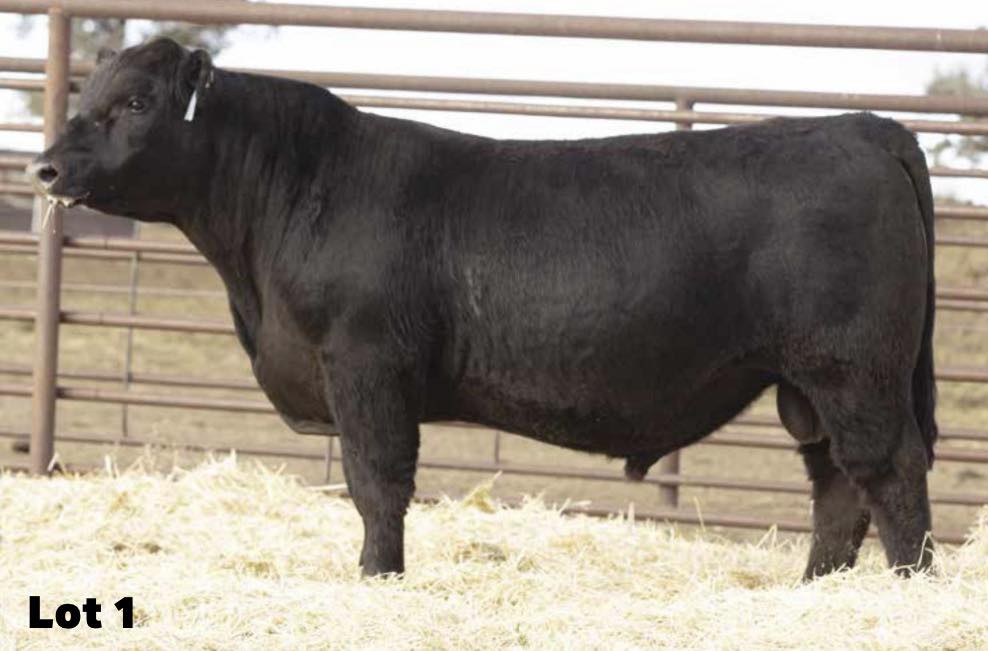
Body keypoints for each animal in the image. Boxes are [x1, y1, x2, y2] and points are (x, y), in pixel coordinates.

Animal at [29, 39, 937, 579]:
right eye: (88, 92)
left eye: (137, 103)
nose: (44, 167)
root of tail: (862, 126)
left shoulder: (365, 363)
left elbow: (376, 482)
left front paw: (379, 577)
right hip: (808, 386)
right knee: (838, 488)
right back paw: (818, 590)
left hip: (854, 370)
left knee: (891, 475)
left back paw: (905, 590)